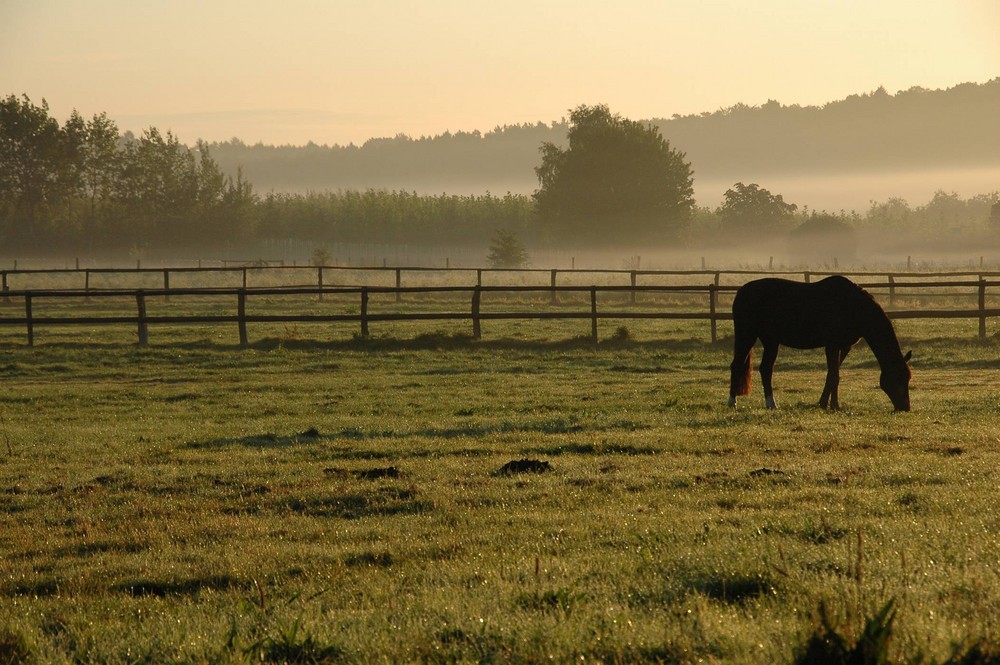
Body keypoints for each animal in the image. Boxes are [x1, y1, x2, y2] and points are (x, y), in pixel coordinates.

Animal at [728, 274, 916, 410]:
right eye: (897, 378)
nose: (905, 407)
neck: (852, 306)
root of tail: (741, 292)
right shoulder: (832, 345)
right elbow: (834, 375)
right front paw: (828, 405)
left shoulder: (843, 347)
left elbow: (833, 375)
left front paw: (829, 404)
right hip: (747, 335)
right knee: (737, 365)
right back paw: (732, 403)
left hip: (770, 340)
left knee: (766, 369)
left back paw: (771, 404)